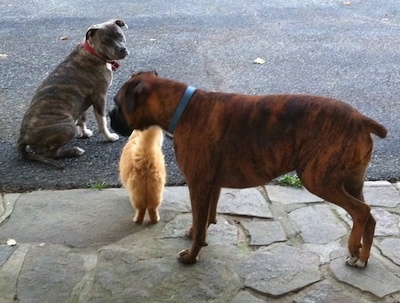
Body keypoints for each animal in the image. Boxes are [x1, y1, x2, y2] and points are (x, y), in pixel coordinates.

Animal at [16, 20, 128, 170]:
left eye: (120, 35)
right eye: (106, 41)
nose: (122, 50)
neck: (94, 52)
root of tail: (23, 138)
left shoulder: (82, 101)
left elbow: (82, 118)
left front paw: (84, 133)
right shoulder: (99, 97)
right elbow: (102, 120)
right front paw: (108, 137)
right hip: (68, 127)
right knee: (50, 154)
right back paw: (74, 151)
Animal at [108, 71, 388, 268]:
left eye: (116, 102)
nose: (109, 115)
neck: (180, 107)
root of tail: (361, 119)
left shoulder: (198, 185)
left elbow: (199, 218)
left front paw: (192, 255)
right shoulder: (211, 185)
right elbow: (204, 218)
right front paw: (198, 234)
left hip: (318, 179)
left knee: (361, 211)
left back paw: (352, 248)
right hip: (351, 182)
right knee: (370, 215)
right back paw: (362, 257)